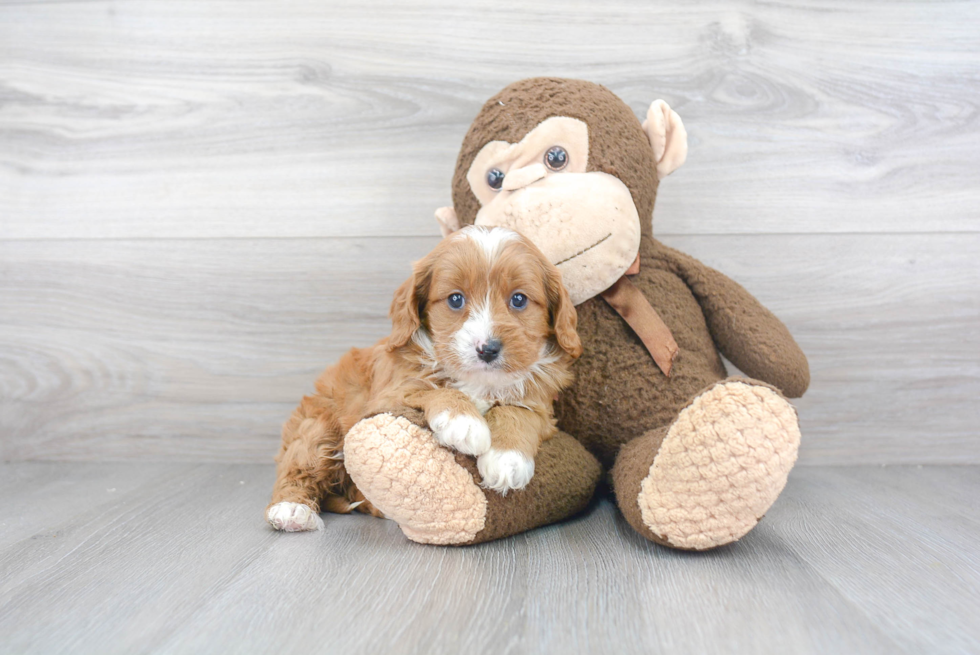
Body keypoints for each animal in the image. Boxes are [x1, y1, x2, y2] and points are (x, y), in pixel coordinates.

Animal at [264, 226, 580, 532]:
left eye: (519, 300)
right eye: (455, 299)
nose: (487, 349)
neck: (478, 381)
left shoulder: (542, 406)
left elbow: (517, 412)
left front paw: (507, 459)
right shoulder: (389, 394)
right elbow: (429, 389)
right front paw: (463, 421)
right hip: (317, 428)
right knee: (299, 467)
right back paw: (292, 510)